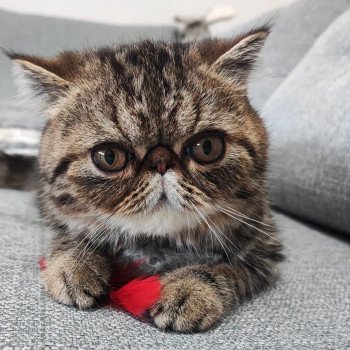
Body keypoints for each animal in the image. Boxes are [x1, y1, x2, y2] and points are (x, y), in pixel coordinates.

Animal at [5, 26, 284, 332]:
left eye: (207, 147)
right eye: (109, 156)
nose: (160, 162)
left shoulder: (264, 248)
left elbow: (222, 269)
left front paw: (190, 290)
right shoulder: (55, 211)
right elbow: (71, 235)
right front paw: (75, 265)